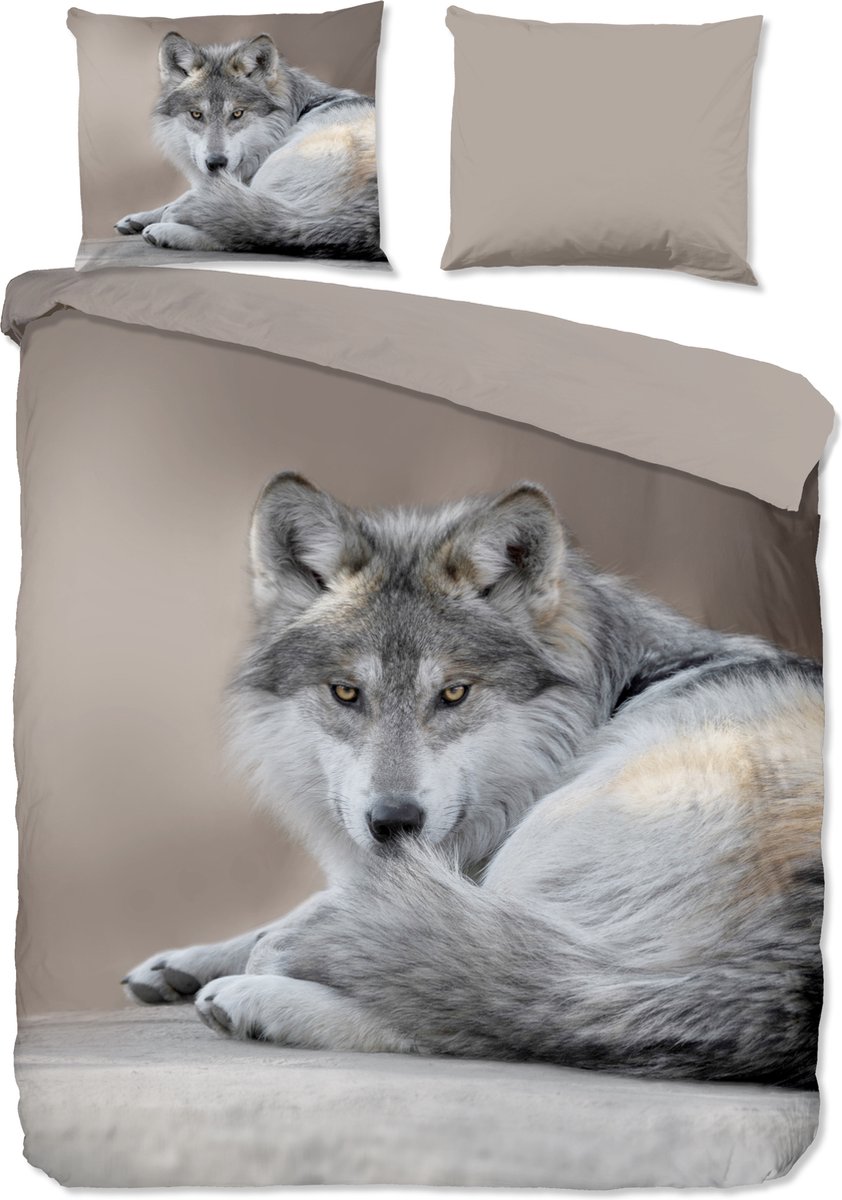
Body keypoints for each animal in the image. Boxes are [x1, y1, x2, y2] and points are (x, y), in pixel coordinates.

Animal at [115, 33, 383, 260]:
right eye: (196, 114)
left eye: (237, 113)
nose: (216, 163)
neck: (296, 113)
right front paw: (135, 218)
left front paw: (169, 213)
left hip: (277, 169)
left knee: (253, 233)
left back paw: (166, 231)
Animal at [123, 473, 824, 1087]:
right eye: (346, 692)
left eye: (454, 693)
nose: (395, 822)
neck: (611, 692)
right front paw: (181, 960)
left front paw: (262, 954)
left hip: (554, 843)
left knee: (492, 1014)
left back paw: (257, 999)